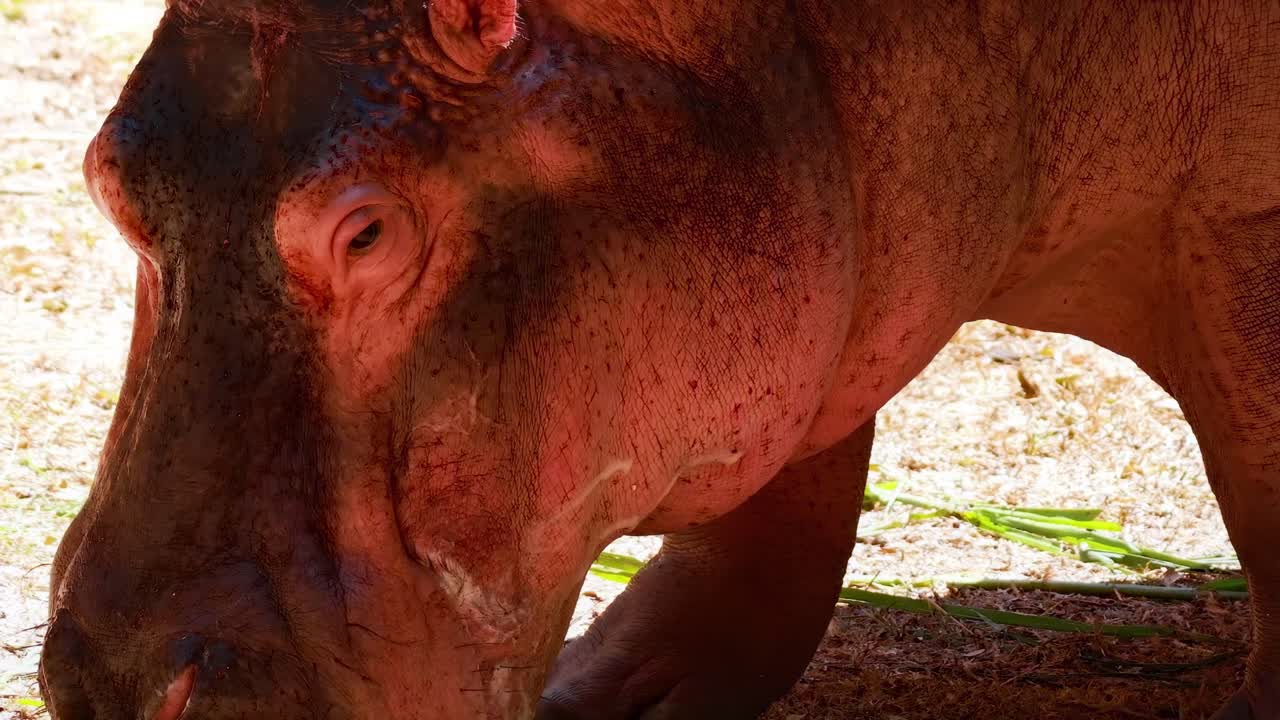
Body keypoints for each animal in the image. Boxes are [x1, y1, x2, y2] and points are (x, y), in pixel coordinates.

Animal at [39, 0, 1280, 718]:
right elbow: (781, 493)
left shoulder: (1234, 223)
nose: (114, 691)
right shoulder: (802, 261)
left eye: (365, 232)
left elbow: (1260, 487)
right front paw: (619, 700)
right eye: (104, 172)